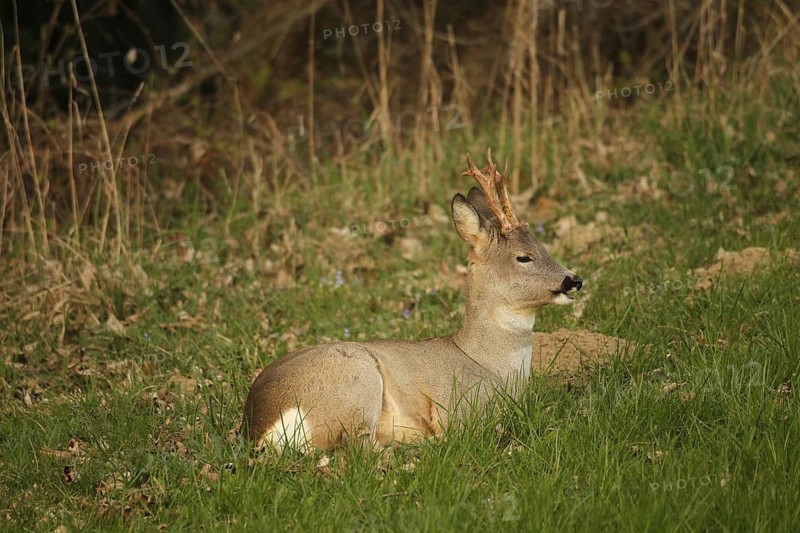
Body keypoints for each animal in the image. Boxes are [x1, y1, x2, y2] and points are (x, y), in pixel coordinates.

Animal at [242, 149, 583, 452]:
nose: (574, 280)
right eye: (524, 257)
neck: (489, 363)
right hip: (356, 380)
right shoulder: (457, 407)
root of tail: (258, 424)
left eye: (545, 247)